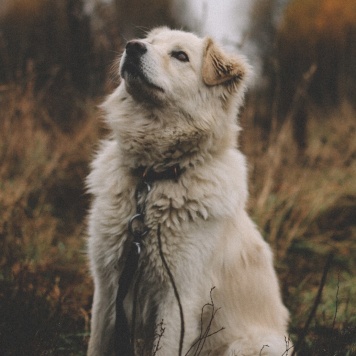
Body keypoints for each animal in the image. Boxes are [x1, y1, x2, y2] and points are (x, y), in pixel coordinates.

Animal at [87, 26, 292, 354]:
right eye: (150, 42)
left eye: (180, 56)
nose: (132, 47)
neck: (153, 177)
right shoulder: (107, 286)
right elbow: (96, 344)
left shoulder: (179, 297)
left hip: (246, 345)